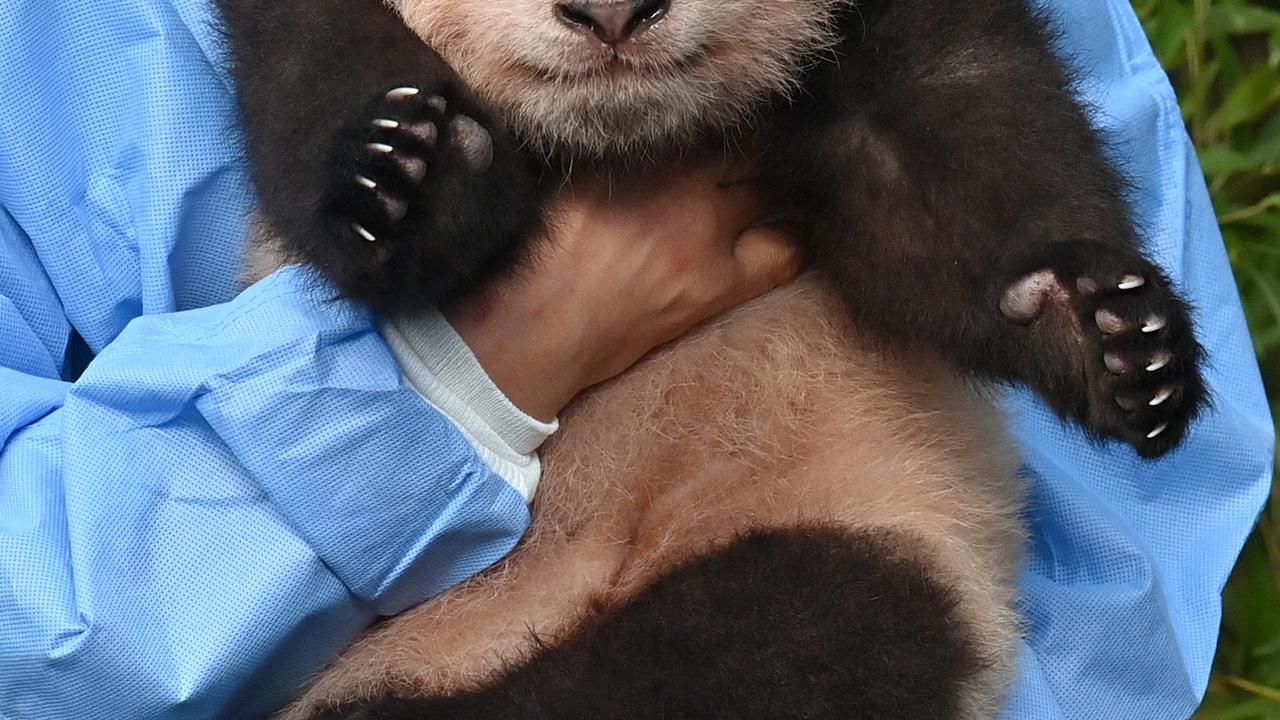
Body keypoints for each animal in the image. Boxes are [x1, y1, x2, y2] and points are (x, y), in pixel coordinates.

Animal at [215, 0, 1208, 717]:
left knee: (802, 632)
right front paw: (405, 166)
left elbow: (965, 147)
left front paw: (1109, 336)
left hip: (832, 505)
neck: (625, 137)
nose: (612, 14)